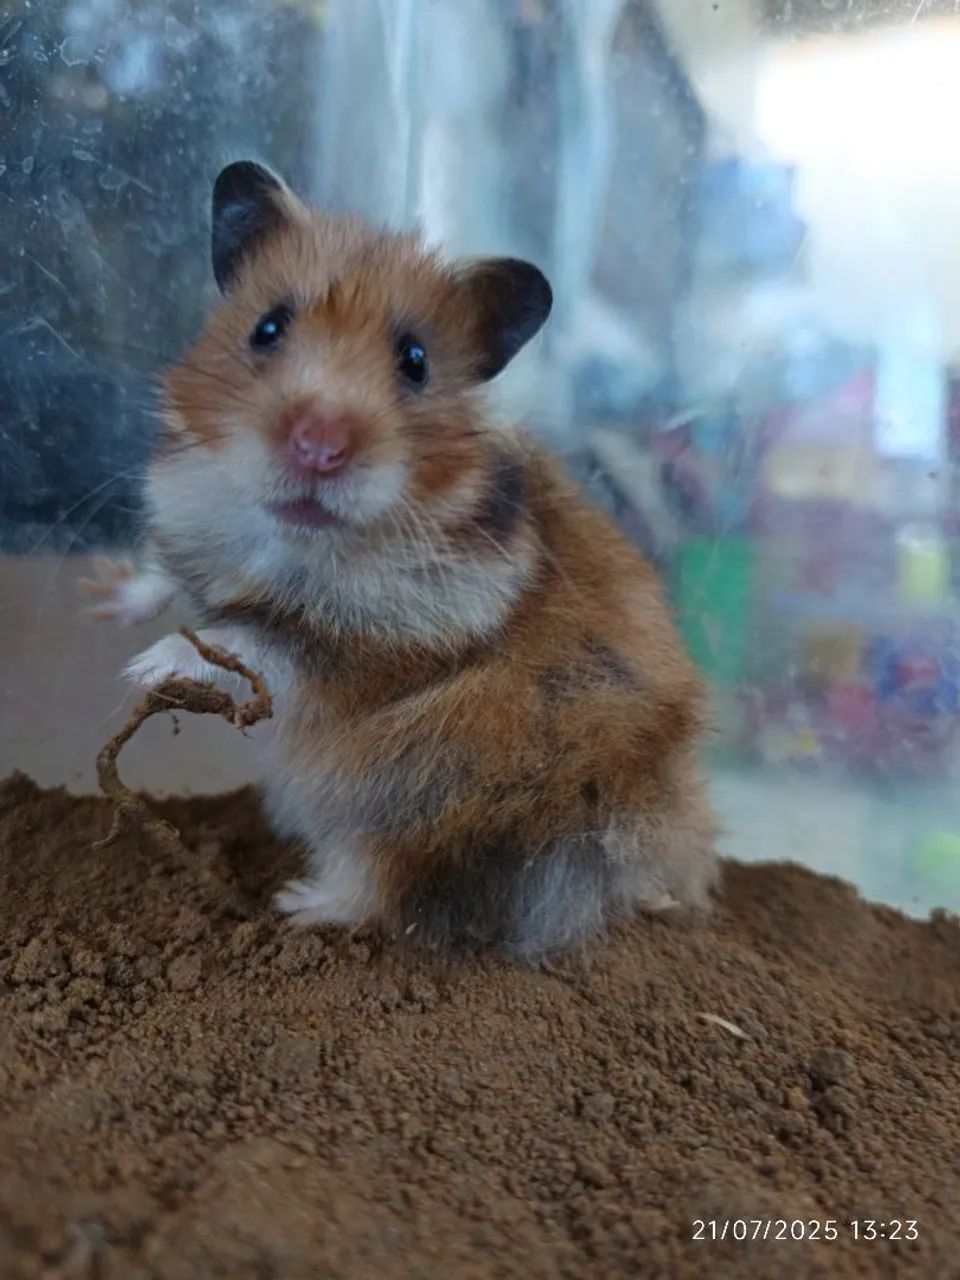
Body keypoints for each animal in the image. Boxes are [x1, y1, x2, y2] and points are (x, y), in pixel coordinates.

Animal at [89, 160, 718, 959]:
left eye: (415, 362)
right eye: (268, 327)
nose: (319, 445)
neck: (295, 540)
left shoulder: (379, 646)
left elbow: (259, 639)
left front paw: (145, 666)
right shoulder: (192, 522)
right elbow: (167, 575)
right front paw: (103, 598)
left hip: (427, 797)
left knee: (380, 886)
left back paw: (297, 901)